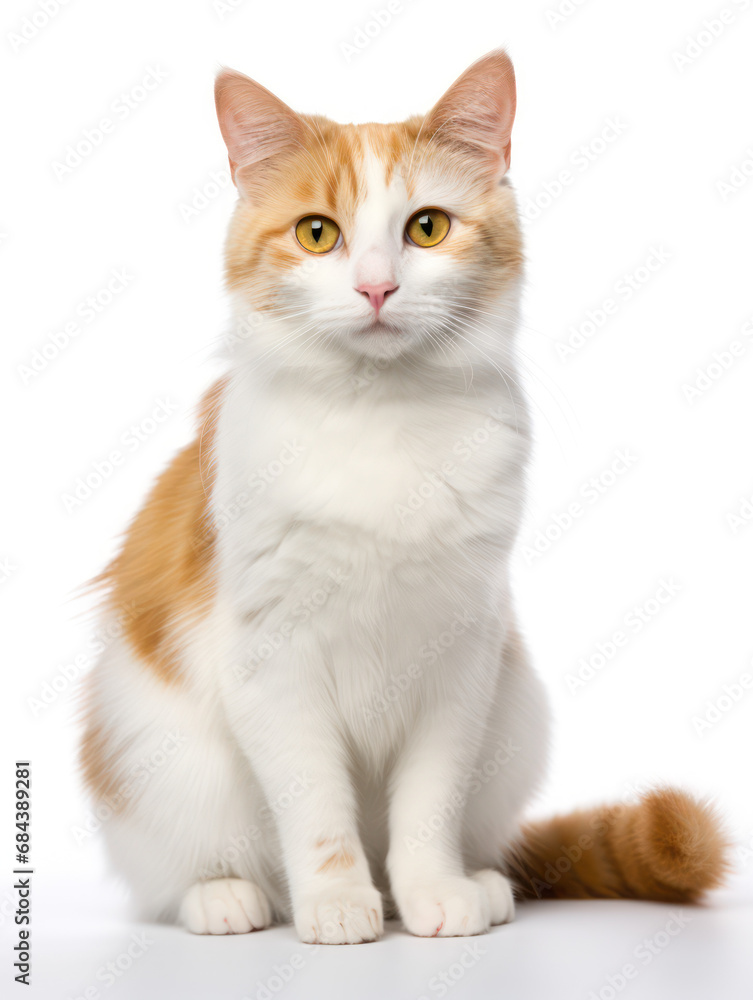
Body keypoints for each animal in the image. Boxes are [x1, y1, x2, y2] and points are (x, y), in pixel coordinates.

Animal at [79, 52, 724, 944]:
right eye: (318, 233)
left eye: (426, 228)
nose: (377, 289)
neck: (379, 416)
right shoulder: (269, 660)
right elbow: (316, 806)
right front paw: (337, 903)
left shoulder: (461, 655)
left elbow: (429, 800)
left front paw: (433, 893)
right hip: (155, 756)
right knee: (177, 872)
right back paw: (226, 897)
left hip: (516, 719)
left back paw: (479, 881)